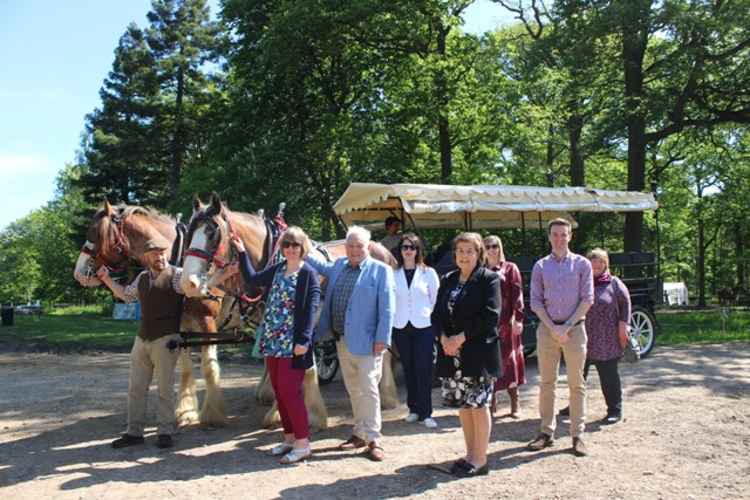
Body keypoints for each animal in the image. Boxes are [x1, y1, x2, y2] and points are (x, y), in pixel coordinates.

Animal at [71, 201, 235, 428]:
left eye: (96, 234)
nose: (78, 272)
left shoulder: (207, 323)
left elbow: (209, 368)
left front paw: (213, 414)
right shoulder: (181, 326)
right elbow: (186, 367)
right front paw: (185, 412)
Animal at [182, 195, 402, 430]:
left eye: (212, 233)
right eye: (190, 233)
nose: (189, 283)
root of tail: (381, 248)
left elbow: (302, 367)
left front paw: (309, 414)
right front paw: (280, 408)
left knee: (384, 353)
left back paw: (386, 396)